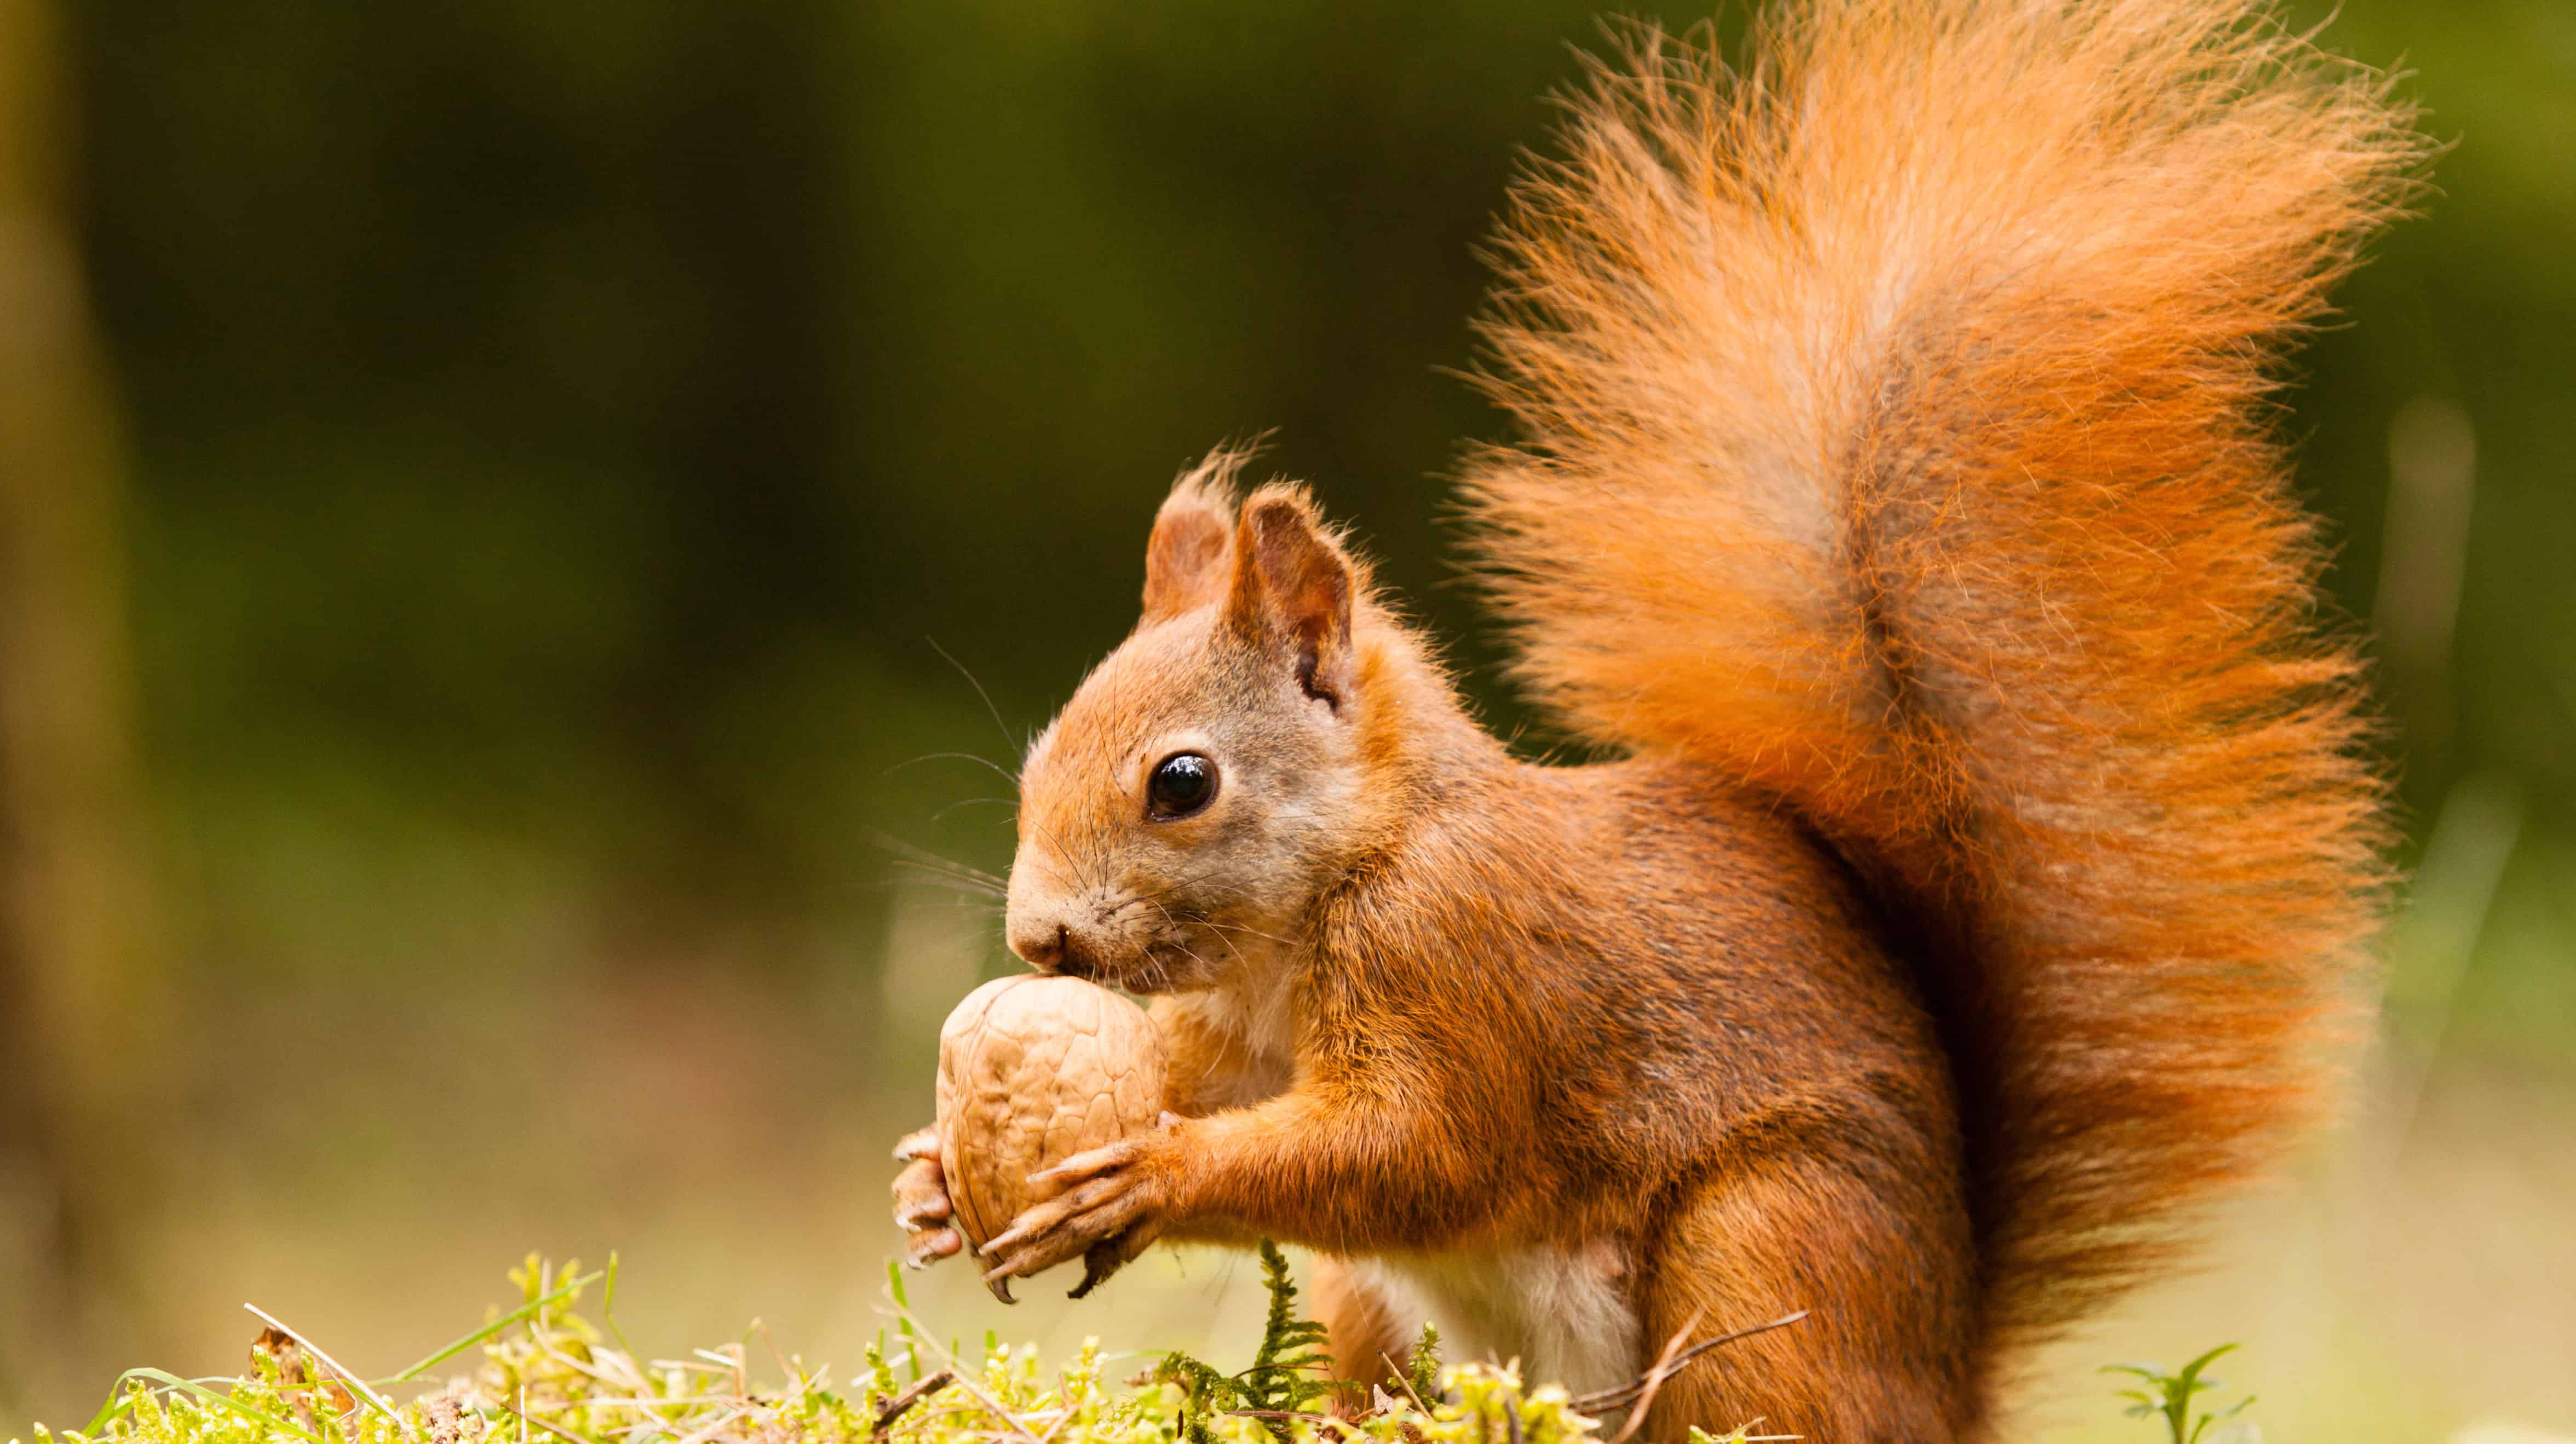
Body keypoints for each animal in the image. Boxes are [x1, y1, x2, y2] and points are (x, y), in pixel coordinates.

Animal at [886, 5, 2411, 1431]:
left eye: (1183, 782)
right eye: (1040, 753)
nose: (1039, 939)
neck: (1335, 887)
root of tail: (1946, 1364)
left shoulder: (1467, 964)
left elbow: (1413, 1151)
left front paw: (1149, 1173)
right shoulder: (1236, 1032)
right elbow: (1208, 1080)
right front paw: (935, 1177)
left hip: (1770, 1248)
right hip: (1382, 1310)